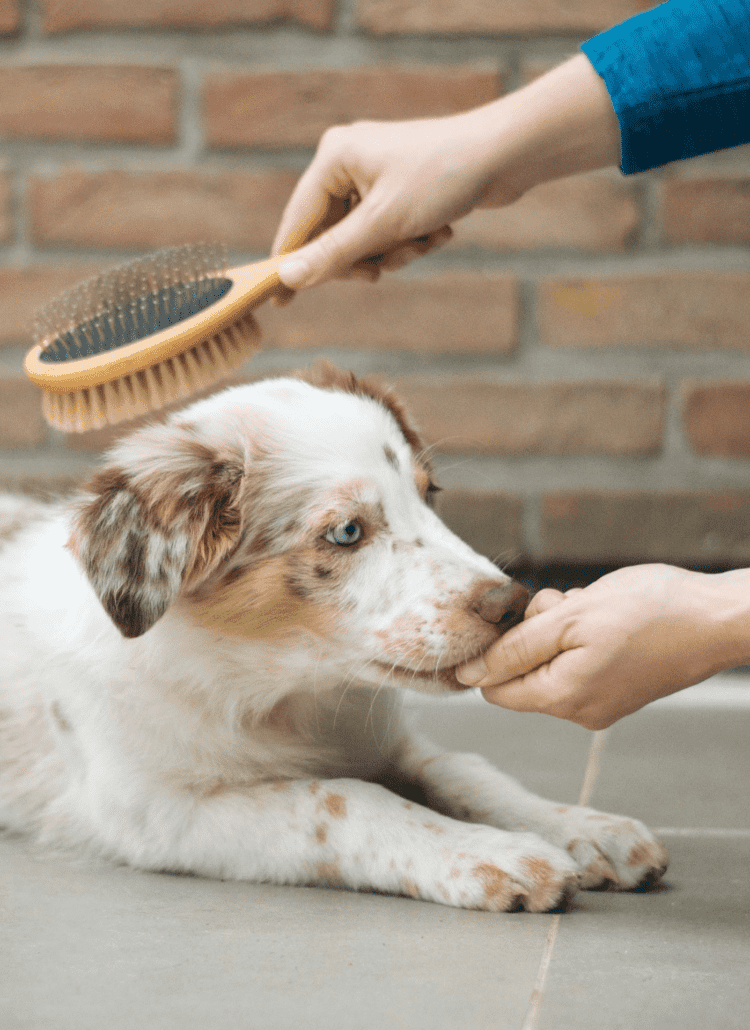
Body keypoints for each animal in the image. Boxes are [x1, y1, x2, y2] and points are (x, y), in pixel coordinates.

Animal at [1, 366, 667, 914]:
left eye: (428, 495)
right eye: (347, 532)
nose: (513, 604)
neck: (281, 695)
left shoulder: (389, 743)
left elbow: (465, 771)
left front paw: (585, 828)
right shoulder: (158, 811)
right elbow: (342, 801)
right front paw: (491, 855)